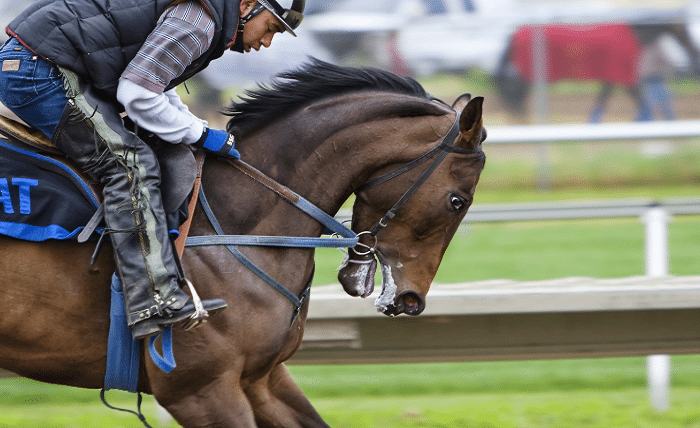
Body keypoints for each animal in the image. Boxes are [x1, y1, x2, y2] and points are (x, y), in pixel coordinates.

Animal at [492, 20, 700, 123]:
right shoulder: (623, 77)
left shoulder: (611, 78)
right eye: (683, 29)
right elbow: (644, 103)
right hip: (527, 75)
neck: (633, 34)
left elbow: (602, 101)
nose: (694, 51)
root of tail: (515, 33)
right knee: (512, 94)